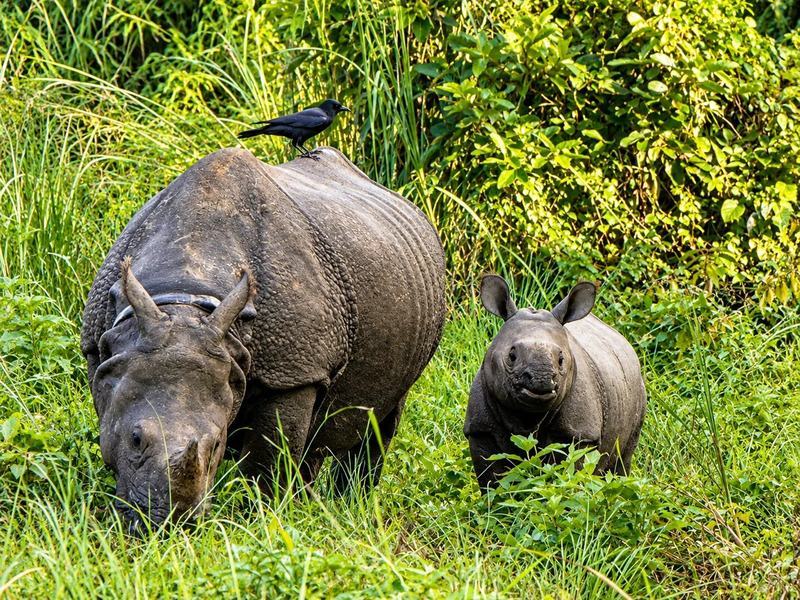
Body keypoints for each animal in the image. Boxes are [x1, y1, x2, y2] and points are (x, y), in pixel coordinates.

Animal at [81, 147, 445, 531]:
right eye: (136, 439)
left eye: (216, 446)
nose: (169, 523)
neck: (185, 296)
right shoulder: (103, 349)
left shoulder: (294, 370)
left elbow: (268, 460)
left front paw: (260, 521)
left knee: (381, 420)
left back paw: (351, 506)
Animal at [464, 275, 646, 490]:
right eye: (511, 356)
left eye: (561, 360)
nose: (541, 378)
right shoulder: (480, 429)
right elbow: (492, 478)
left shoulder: (580, 433)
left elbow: (568, 472)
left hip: (638, 386)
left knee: (624, 456)